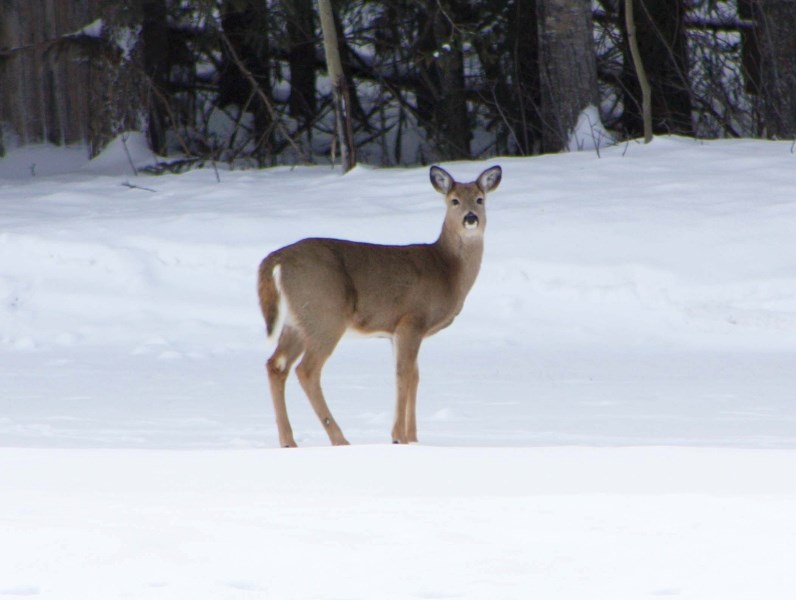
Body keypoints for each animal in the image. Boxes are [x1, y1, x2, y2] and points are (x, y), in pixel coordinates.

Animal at [258, 164, 500, 446]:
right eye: (454, 201)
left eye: (480, 199)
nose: (470, 218)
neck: (447, 269)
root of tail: (278, 259)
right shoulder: (411, 319)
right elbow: (403, 374)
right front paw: (398, 437)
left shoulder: (396, 332)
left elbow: (414, 376)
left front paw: (413, 438)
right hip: (325, 314)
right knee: (307, 370)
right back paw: (340, 439)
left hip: (297, 320)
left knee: (276, 365)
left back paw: (288, 440)